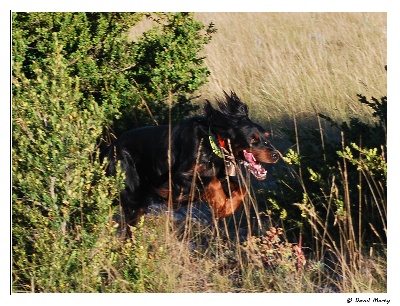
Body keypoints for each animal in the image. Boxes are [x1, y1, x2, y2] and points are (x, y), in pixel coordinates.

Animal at [101, 92, 280, 231]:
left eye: (266, 137)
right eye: (253, 140)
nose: (276, 155)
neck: (212, 142)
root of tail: (109, 148)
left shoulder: (222, 176)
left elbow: (240, 188)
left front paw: (226, 208)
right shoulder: (177, 179)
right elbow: (212, 182)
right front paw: (220, 205)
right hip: (133, 198)